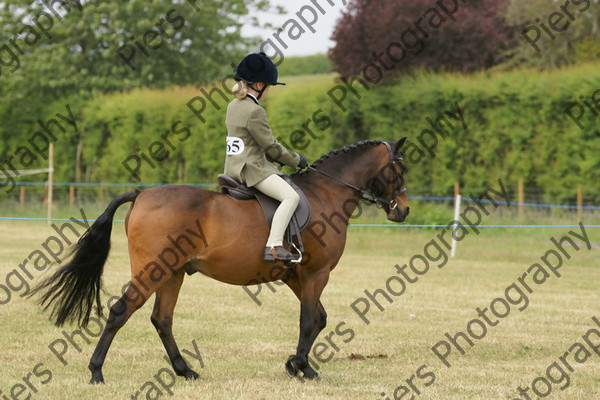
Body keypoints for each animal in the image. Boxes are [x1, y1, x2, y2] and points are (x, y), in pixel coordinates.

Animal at [30, 138, 410, 384]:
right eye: (400, 169)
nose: (403, 210)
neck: (325, 193)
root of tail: (142, 194)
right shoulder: (317, 274)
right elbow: (310, 321)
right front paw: (301, 367)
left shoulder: (297, 276)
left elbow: (318, 318)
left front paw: (299, 365)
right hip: (153, 272)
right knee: (121, 311)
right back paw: (96, 372)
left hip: (173, 273)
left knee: (162, 319)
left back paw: (185, 370)